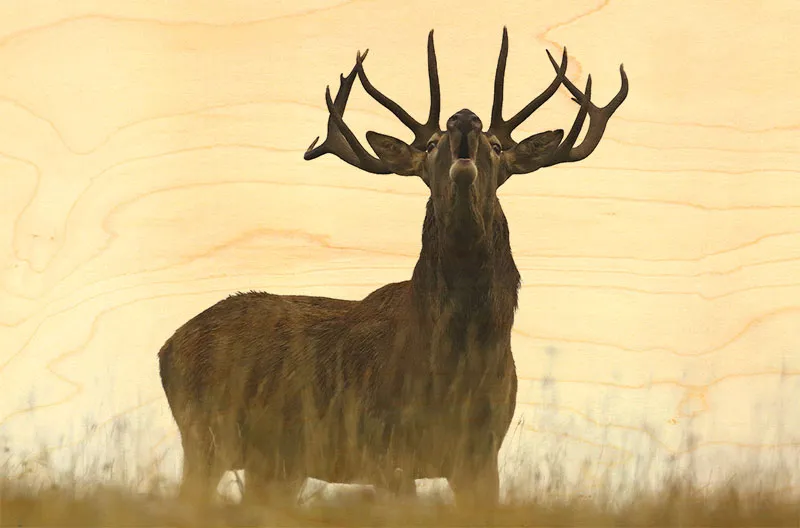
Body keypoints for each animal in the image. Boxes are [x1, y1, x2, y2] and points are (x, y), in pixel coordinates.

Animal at [158, 27, 627, 509]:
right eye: (432, 145)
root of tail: (166, 347)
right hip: (204, 434)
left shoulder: (481, 453)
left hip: (274, 463)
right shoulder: (382, 445)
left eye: (497, 147)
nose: (464, 118)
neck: (454, 362)